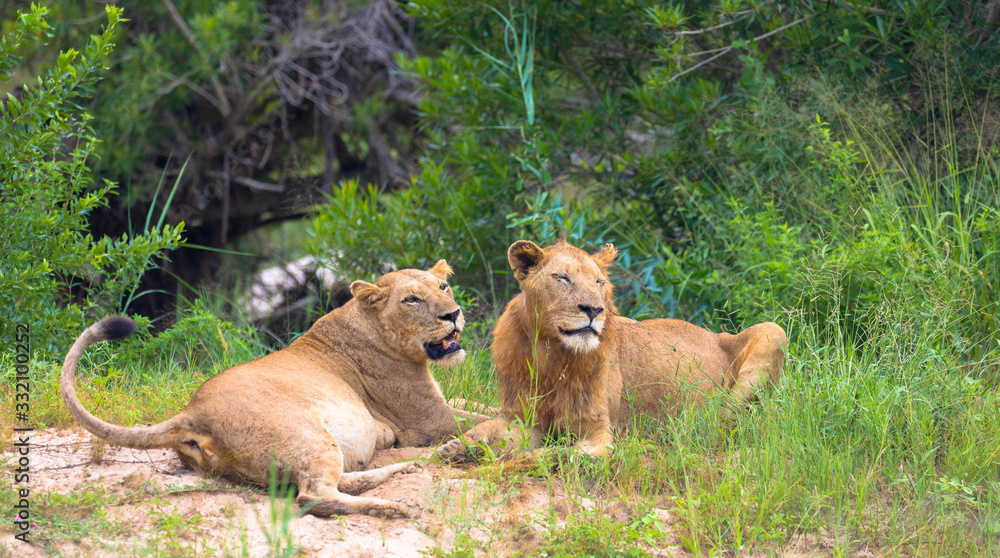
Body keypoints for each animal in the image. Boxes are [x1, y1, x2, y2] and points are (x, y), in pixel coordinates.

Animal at [62, 260, 486, 518]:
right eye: (412, 299)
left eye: (444, 286)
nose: (453, 314)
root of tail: (190, 412)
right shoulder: (430, 421)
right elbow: (485, 417)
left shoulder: (442, 403)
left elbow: (483, 405)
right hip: (307, 433)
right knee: (313, 495)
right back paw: (391, 507)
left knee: (334, 481)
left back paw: (405, 468)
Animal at [435, 240, 786, 460]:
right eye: (561, 278)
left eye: (599, 282)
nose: (594, 309)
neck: (551, 353)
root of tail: (715, 334)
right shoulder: (521, 419)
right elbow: (485, 429)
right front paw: (457, 448)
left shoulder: (599, 428)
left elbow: (566, 455)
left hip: (773, 332)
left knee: (728, 419)